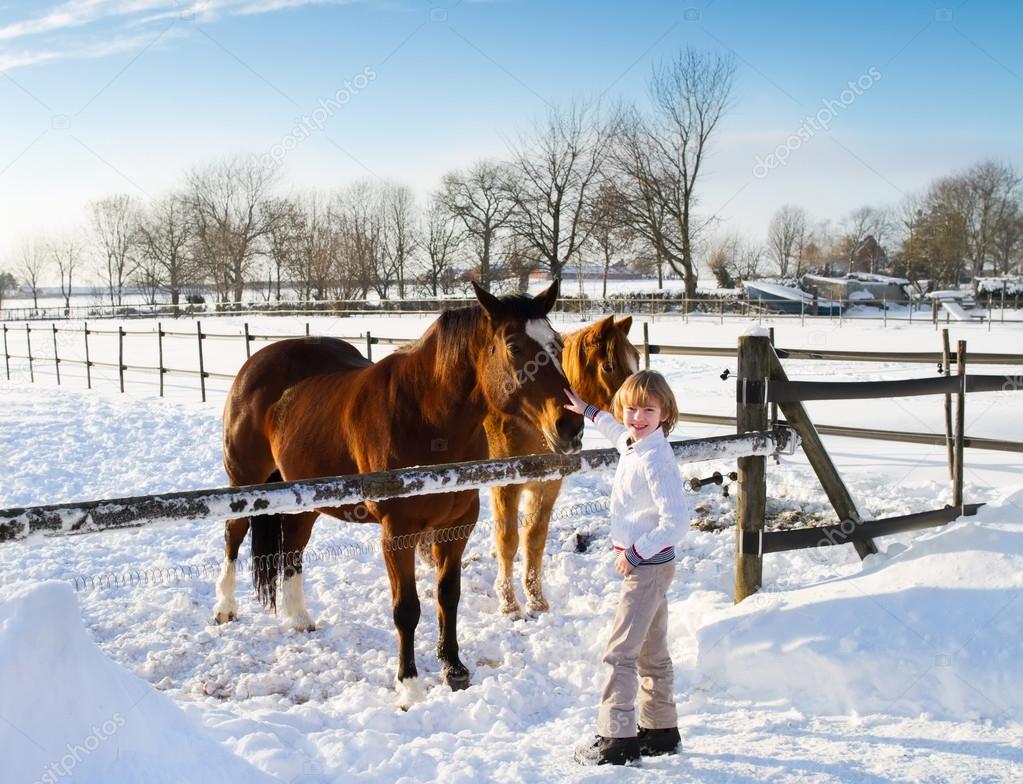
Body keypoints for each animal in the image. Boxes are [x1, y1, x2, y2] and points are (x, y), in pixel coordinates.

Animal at [213, 280, 585, 704]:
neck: (427, 417)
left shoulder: (457, 526)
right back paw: (225, 607)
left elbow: (448, 595)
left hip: (303, 494)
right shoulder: (397, 533)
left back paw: (299, 617)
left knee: (293, 543)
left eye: (557, 343)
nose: (570, 426)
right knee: (234, 534)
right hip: (243, 482)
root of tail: (254, 365)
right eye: (514, 347)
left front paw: (454, 668)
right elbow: (406, 608)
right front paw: (409, 686)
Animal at [482, 315, 634, 618]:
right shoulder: (505, 486)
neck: (530, 423)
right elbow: (508, 541)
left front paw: (537, 602)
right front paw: (509, 605)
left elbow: (534, 539)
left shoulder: (548, 485)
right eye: (609, 366)